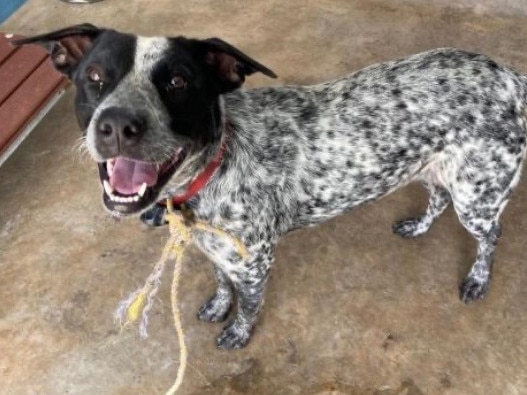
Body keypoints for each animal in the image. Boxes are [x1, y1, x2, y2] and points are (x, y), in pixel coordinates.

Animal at [12, 24, 527, 350]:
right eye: (95, 77)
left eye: (178, 82)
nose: (118, 125)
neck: (216, 167)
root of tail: (509, 75)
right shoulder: (215, 248)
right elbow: (221, 285)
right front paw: (217, 306)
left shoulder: (255, 261)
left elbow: (249, 305)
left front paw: (238, 333)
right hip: (440, 172)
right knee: (436, 198)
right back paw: (419, 227)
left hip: (477, 196)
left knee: (491, 236)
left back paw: (478, 279)